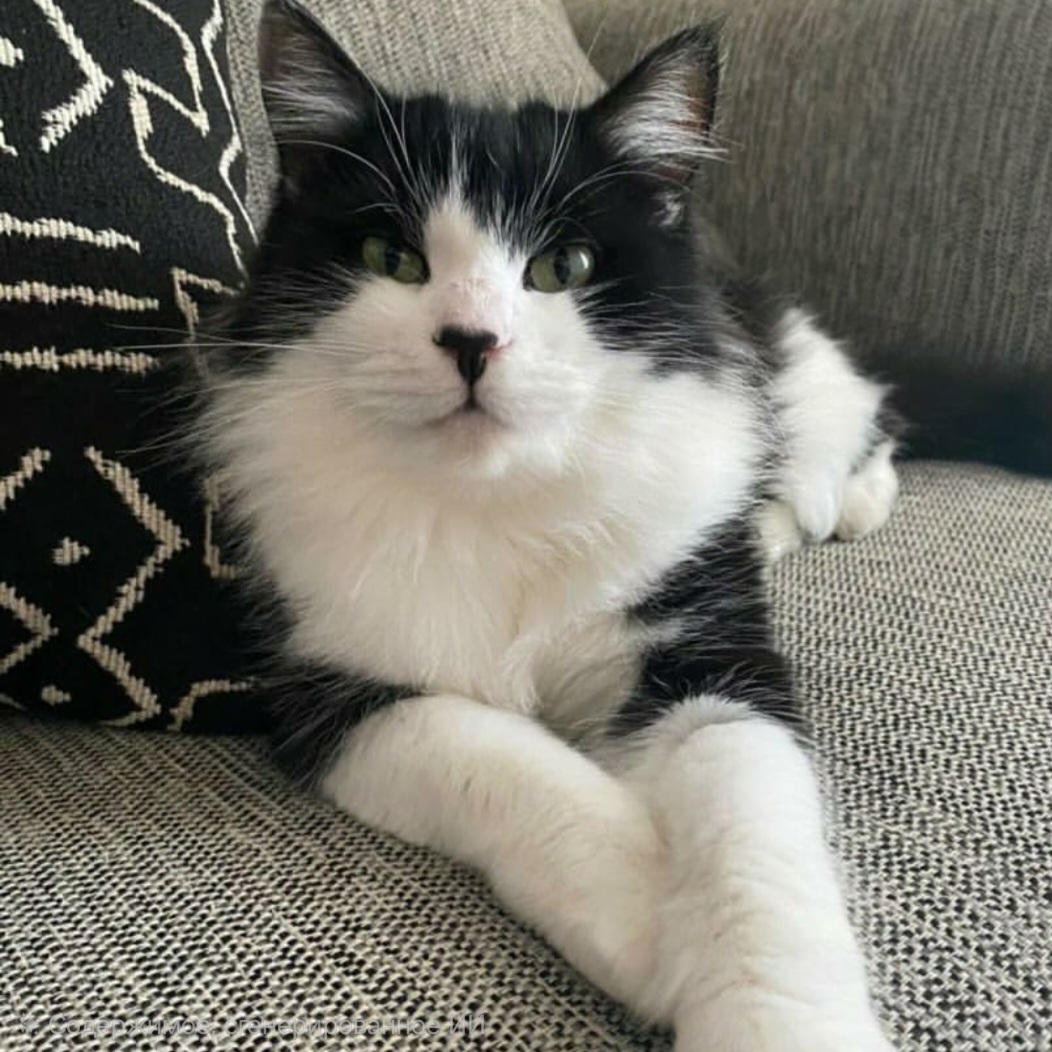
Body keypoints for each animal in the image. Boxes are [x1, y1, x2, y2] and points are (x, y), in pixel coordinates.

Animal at [193, 0, 901, 1048]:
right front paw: (650, 914)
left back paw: (806, 510)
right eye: (390, 260)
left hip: (804, 384)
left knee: (854, 439)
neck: (496, 500)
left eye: (561, 267)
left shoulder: (709, 640)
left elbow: (753, 826)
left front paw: (768, 1010)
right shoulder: (328, 686)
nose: (471, 342)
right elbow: (496, 754)